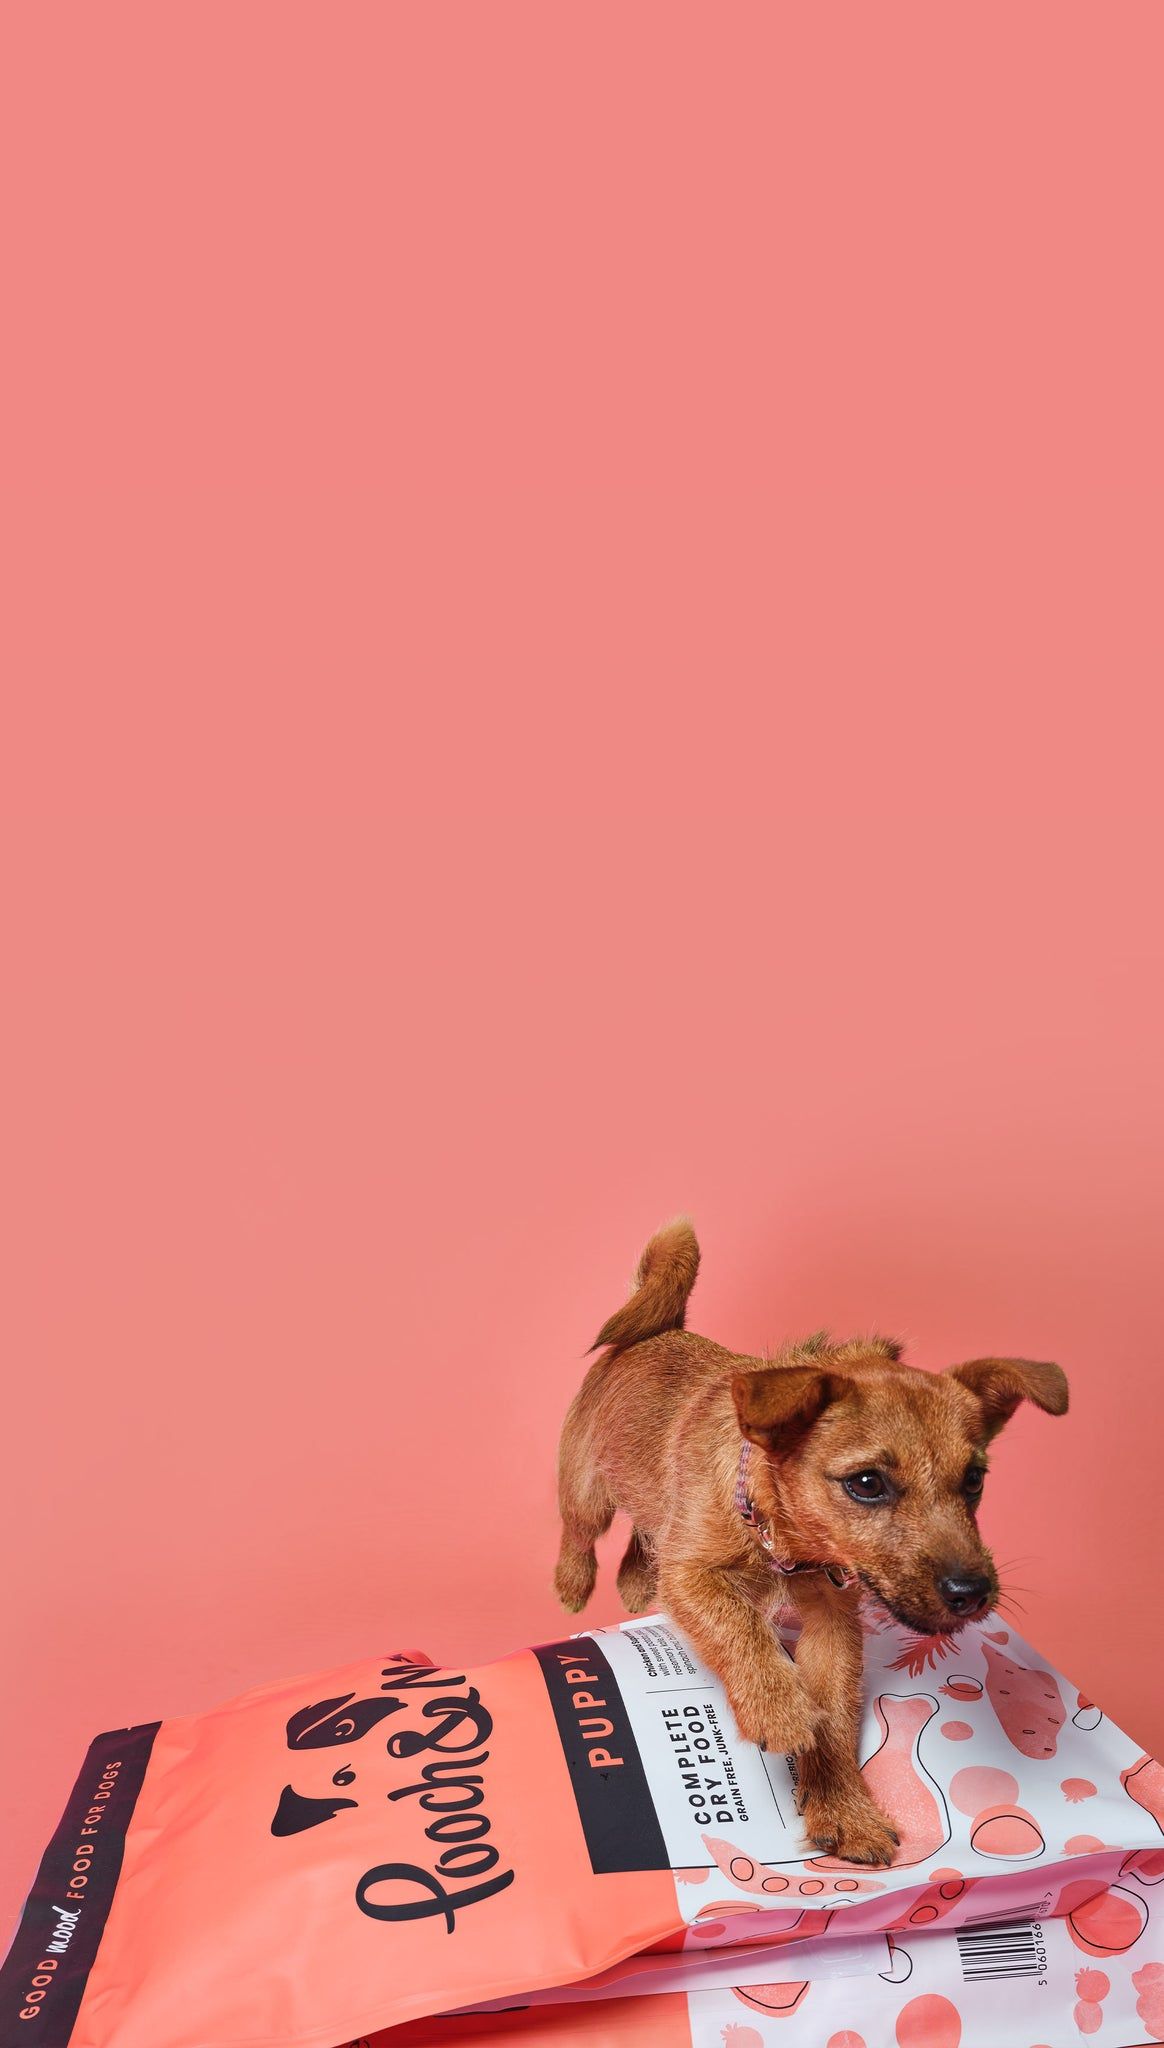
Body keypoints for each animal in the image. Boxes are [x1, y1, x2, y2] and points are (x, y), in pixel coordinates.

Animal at [557, 1220, 1065, 1867]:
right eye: (867, 1484)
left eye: (974, 1480)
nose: (972, 1593)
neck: (783, 1539)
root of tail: (659, 1330)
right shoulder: (694, 1575)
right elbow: (737, 1625)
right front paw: (777, 1705)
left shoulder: (831, 1620)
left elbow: (834, 1715)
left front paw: (843, 1809)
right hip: (587, 1492)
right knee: (582, 1533)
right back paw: (573, 1585)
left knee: (645, 1539)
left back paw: (631, 1584)